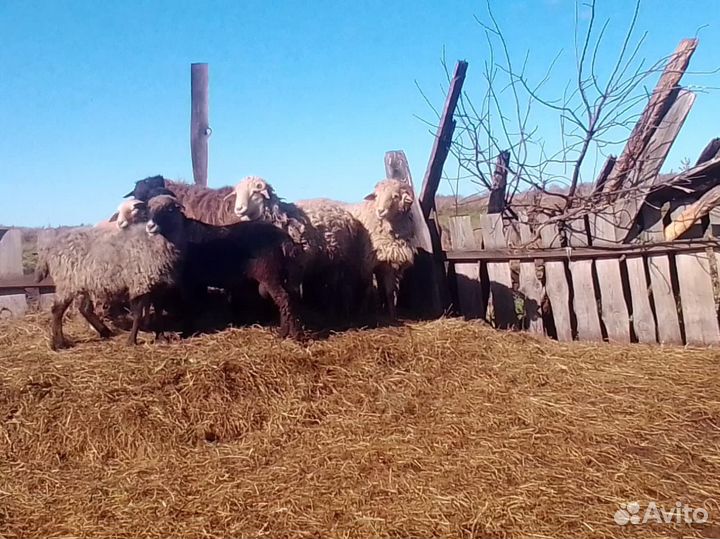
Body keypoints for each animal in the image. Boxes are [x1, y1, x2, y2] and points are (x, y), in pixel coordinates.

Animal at [35, 224, 182, 350]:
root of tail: (50, 248)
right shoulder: (140, 282)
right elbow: (138, 314)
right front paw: (131, 341)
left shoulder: (158, 286)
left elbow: (158, 312)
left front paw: (161, 337)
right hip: (68, 281)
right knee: (57, 310)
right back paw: (59, 343)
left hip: (87, 282)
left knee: (84, 309)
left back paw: (105, 332)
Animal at [144, 195, 304, 340]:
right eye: (149, 209)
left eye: (169, 209)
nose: (150, 226)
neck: (182, 233)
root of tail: (284, 238)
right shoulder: (197, 282)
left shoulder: (188, 280)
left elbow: (189, 305)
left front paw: (186, 332)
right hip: (282, 274)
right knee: (290, 298)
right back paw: (291, 332)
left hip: (269, 275)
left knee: (284, 299)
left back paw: (286, 334)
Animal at [347, 178, 417, 320]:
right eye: (376, 196)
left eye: (395, 196)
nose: (380, 211)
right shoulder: (368, 263)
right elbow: (368, 288)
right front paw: (363, 312)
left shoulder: (389, 261)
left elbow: (389, 292)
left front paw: (392, 315)